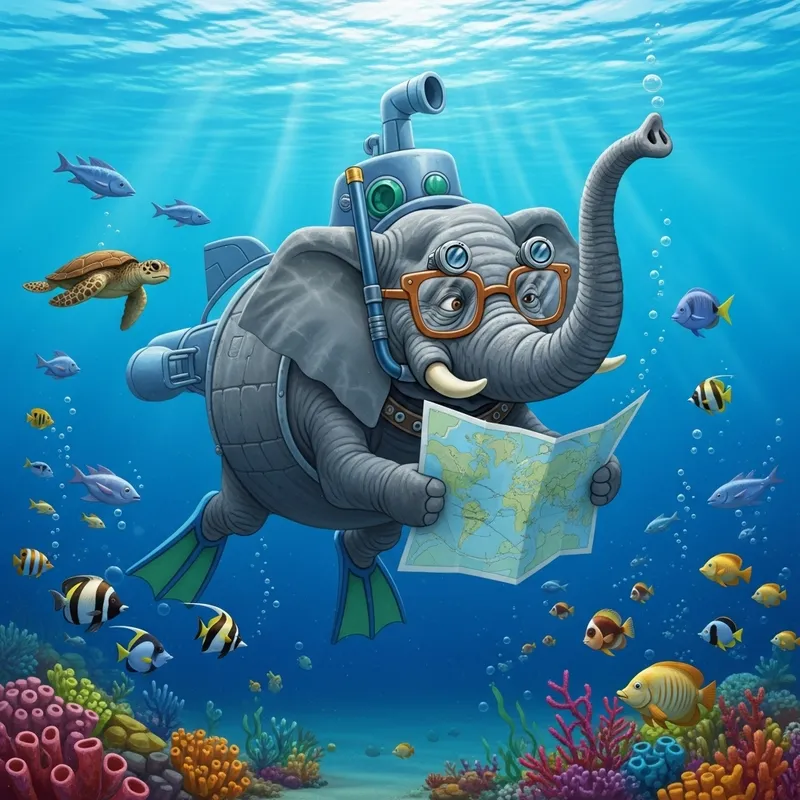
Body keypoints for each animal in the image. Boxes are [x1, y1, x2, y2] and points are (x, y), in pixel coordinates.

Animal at [128, 112, 673, 643]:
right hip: (240, 463)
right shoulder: (312, 375)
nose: (655, 134)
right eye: (452, 301)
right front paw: (431, 491)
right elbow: (342, 473)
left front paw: (599, 475)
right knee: (233, 516)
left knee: (368, 536)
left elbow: (536, 433)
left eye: (532, 295)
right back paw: (170, 572)